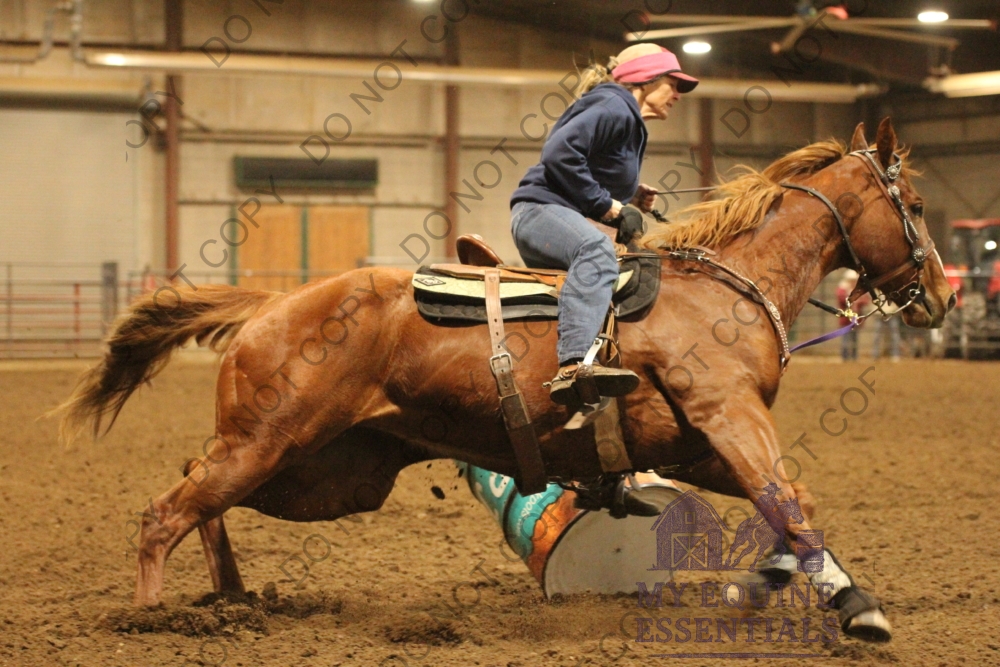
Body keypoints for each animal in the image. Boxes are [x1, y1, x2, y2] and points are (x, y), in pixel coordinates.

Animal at [55, 119, 955, 643]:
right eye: (911, 201)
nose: (942, 296)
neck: (723, 286)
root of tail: (272, 302)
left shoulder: (699, 445)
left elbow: (789, 505)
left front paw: (786, 586)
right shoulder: (728, 416)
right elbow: (793, 497)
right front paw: (856, 607)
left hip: (319, 470)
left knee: (193, 491)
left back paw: (234, 599)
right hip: (271, 444)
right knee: (164, 511)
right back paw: (150, 618)